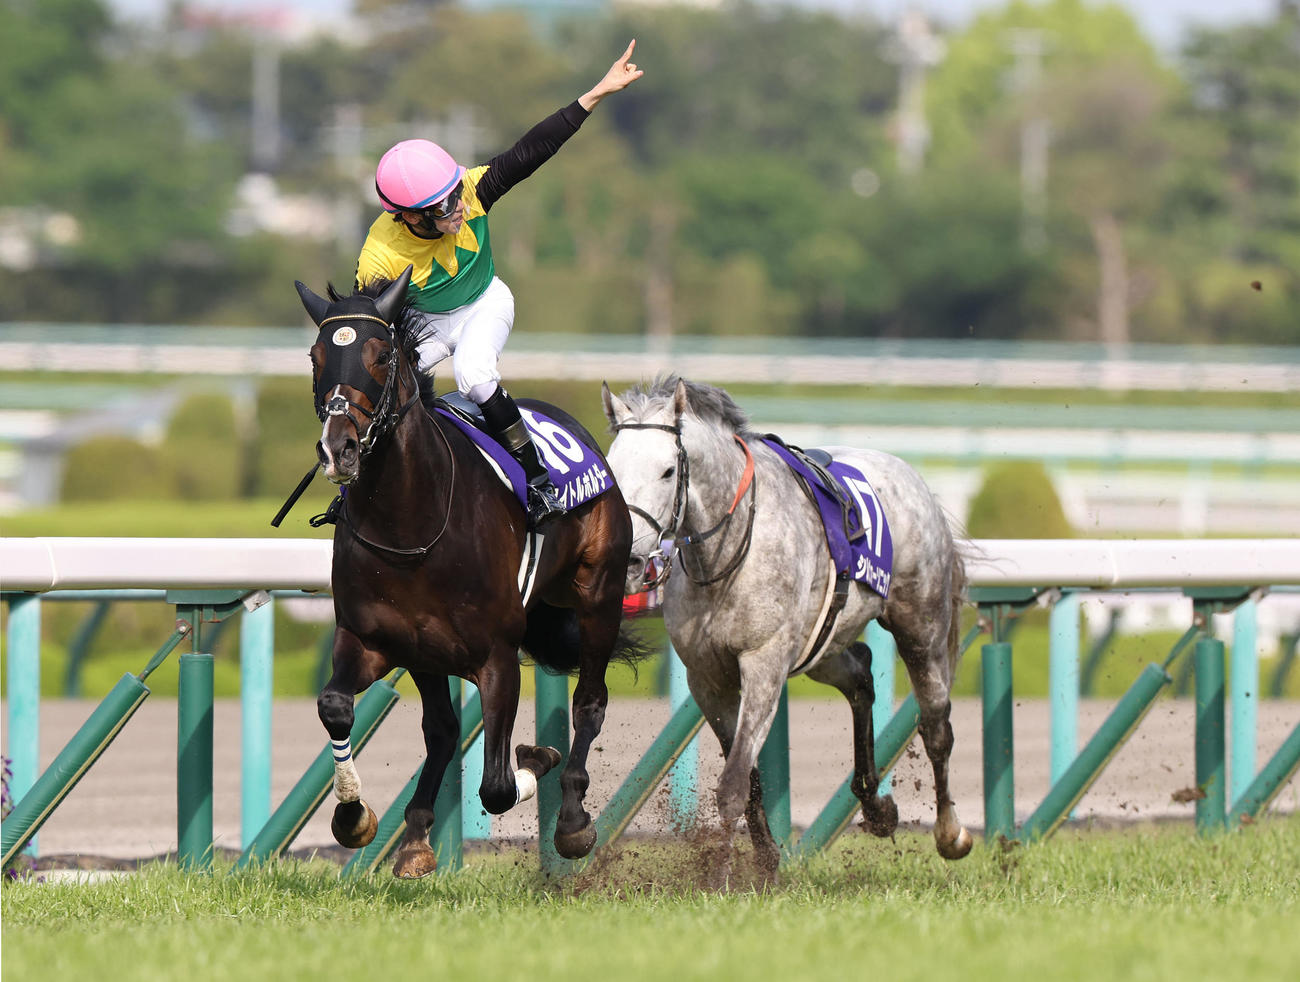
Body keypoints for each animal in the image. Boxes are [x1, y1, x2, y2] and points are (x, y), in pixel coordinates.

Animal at [295, 266, 641, 877]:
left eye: (380, 354)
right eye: (316, 357)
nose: (339, 450)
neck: (411, 522)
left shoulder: (497, 656)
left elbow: (498, 787)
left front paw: (538, 759)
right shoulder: (376, 640)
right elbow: (338, 706)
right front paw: (356, 815)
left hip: (599, 594)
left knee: (590, 701)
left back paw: (573, 819)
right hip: (430, 654)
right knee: (443, 729)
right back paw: (414, 835)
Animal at [602, 375, 973, 879]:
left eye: (666, 471)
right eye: (614, 470)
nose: (630, 563)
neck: (726, 553)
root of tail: (913, 479)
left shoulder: (764, 664)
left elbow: (734, 782)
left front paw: (722, 876)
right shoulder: (708, 678)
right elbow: (749, 777)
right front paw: (766, 861)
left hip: (921, 627)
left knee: (936, 726)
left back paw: (951, 833)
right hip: (822, 644)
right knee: (860, 675)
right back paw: (876, 807)